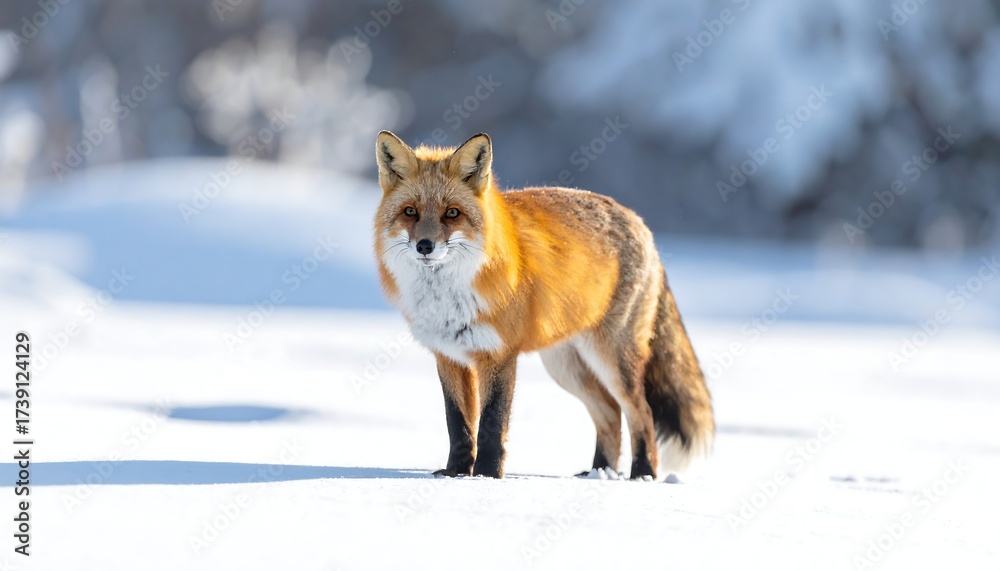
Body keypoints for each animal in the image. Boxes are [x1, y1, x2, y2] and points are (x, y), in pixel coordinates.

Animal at [373, 130, 714, 480]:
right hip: (566, 367)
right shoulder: (449, 356)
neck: (447, 300)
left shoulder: (499, 355)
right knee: (610, 412)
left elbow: (492, 423)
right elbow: (458, 424)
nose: (425, 246)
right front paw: (455, 473)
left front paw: (487, 475)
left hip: (610, 358)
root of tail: (640, 222)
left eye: (452, 213)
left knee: (640, 411)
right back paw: (599, 471)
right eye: (410, 212)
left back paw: (642, 474)